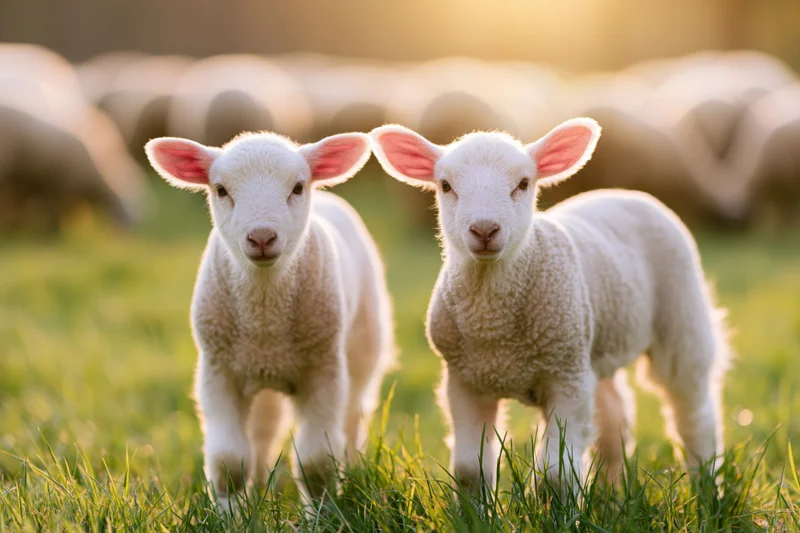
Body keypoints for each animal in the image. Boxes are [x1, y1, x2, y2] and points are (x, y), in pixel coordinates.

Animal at [144, 131, 394, 509]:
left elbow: (316, 460)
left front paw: (321, 513)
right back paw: (260, 486)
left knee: (353, 416)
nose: (261, 237)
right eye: (220, 190)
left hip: (363, 349)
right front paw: (230, 512)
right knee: (264, 430)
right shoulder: (218, 371)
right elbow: (229, 459)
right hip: (260, 374)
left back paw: (352, 466)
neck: (265, 316)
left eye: (298, 187)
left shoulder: (323, 371)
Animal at [370, 119, 729, 495]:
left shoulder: (565, 379)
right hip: (594, 345)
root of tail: (624, 192)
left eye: (523, 183)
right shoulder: (465, 382)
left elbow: (556, 473)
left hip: (680, 321)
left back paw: (706, 486)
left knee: (694, 414)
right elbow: (470, 469)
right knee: (614, 416)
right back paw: (611, 491)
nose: (484, 230)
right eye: (445, 185)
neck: (494, 331)